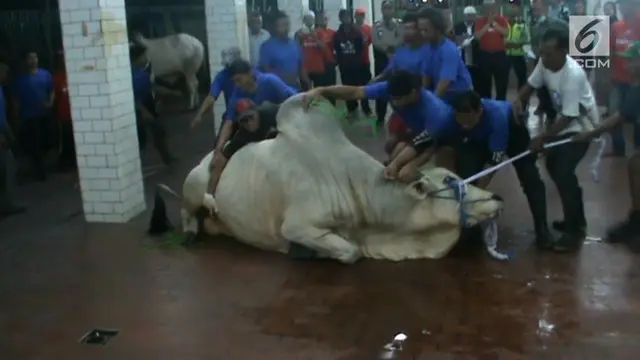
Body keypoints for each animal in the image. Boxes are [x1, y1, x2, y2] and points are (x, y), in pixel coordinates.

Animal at [151, 93, 504, 262]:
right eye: (447, 180)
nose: (497, 197)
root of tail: (204, 159)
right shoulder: (298, 225)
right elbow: (350, 252)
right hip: (194, 186)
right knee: (187, 210)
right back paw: (191, 232)